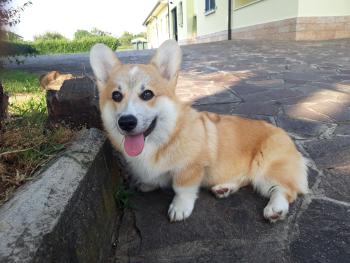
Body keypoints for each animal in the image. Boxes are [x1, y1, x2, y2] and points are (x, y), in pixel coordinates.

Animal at [90, 40, 308, 224]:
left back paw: (276, 209)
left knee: (286, 190)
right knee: (246, 178)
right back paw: (224, 188)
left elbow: (181, 189)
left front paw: (179, 208)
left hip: (268, 168)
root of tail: (287, 136)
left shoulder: (190, 167)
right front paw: (148, 184)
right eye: (116, 96)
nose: (126, 122)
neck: (162, 138)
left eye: (147, 94)